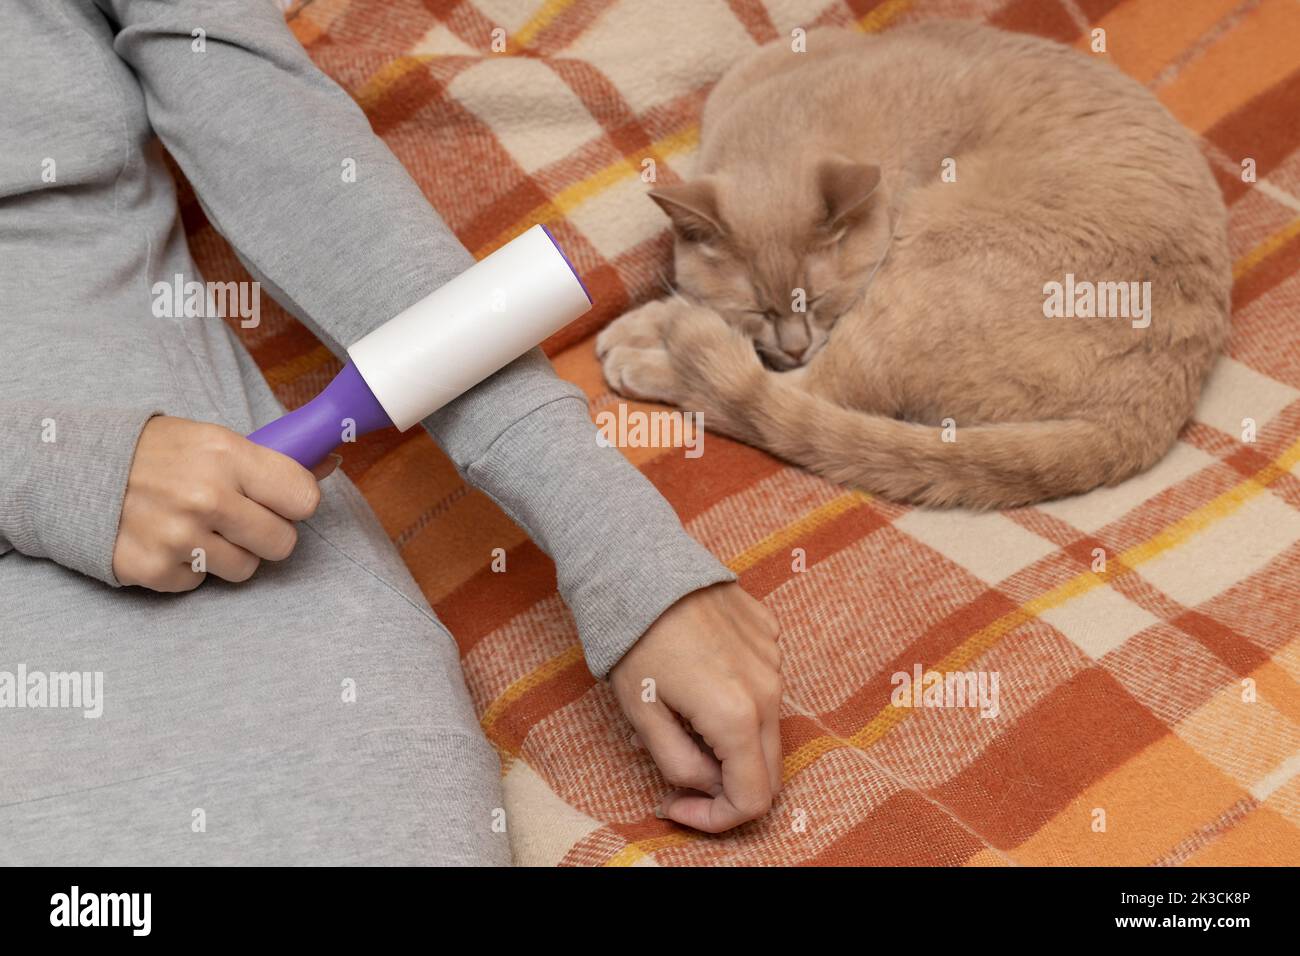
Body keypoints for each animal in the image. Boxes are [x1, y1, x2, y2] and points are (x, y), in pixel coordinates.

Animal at [598, 20, 1227, 509]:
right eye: (758, 310)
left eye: (819, 301)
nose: (796, 345)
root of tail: (1149, 411)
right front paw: (637, 322)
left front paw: (643, 340)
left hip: (914, 281)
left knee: (782, 394)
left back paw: (649, 364)